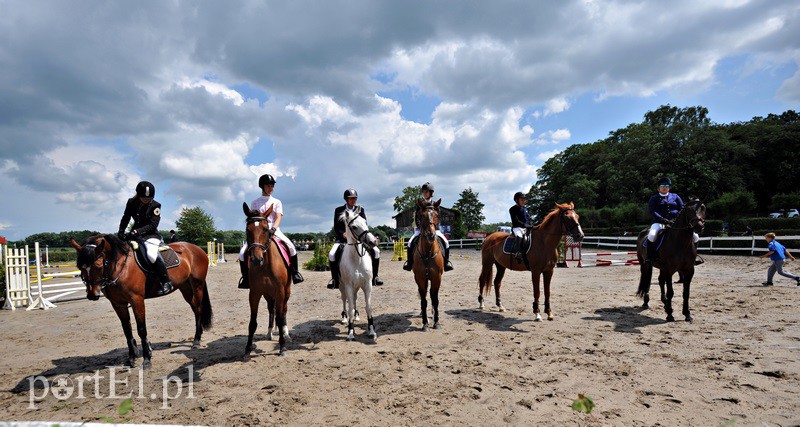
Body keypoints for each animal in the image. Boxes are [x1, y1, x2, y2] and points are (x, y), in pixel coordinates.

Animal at [70, 234, 212, 368]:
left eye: (98, 267)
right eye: (80, 267)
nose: (92, 295)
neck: (120, 266)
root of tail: (196, 248)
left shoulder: (136, 300)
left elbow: (141, 329)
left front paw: (147, 359)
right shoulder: (118, 304)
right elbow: (127, 330)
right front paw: (131, 359)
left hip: (197, 285)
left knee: (199, 309)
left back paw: (196, 341)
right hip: (185, 287)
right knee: (195, 309)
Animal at [245, 202, 296, 356]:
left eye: (266, 229)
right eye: (247, 229)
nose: (256, 259)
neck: (265, 266)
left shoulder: (280, 292)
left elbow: (280, 318)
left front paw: (282, 346)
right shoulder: (254, 293)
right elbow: (252, 322)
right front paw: (248, 348)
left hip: (286, 291)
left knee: (283, 310)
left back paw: (286, 334)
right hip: (268, 294)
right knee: (271, 309)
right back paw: (269, 333)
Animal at [336, 208, 376, 344]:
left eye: (365, 221)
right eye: (353, 226)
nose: (373, 241)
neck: (357, 259)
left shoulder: (367, 284)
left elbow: (368, 307)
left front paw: (371, 331)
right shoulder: (348, 285)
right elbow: (350, 309)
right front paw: (350, 332)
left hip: (357, 287)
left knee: (354, 299)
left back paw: (357, 316)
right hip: (342, 287)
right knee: (345, 300)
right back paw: (344, 318)